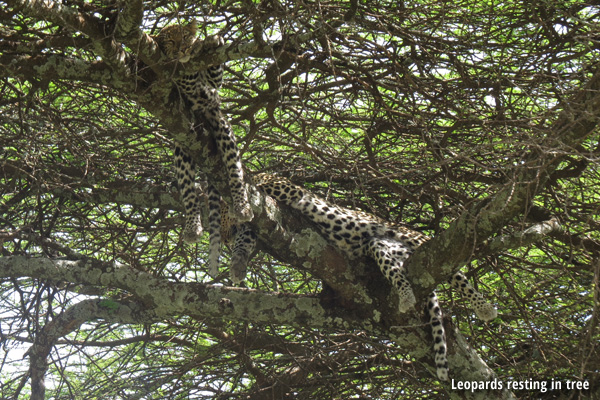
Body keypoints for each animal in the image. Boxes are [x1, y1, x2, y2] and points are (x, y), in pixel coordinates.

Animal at [251, 173, 500, 382]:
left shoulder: (287, 188)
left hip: (408, 239)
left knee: (455, 274)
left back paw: (483, 308)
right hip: (380, 245)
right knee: (394, 269)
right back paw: (406, 297)